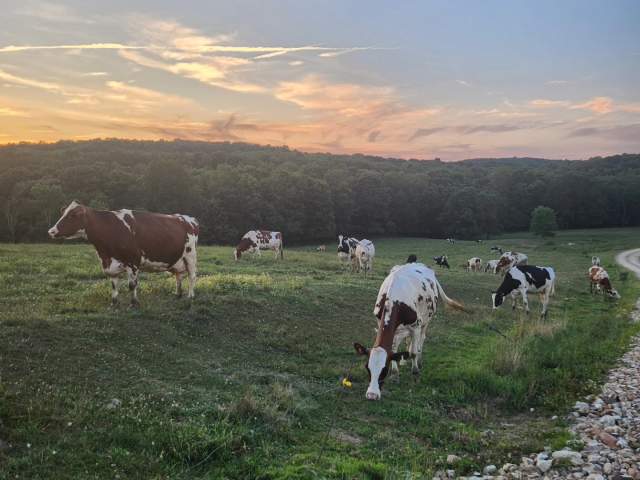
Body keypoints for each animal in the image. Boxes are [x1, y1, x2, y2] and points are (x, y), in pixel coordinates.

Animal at [48, 200, 199, 307]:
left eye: (72, 215)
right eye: (63, 213)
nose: (51, 231)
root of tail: (188, 218)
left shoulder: (133, 261)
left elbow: (132, 284)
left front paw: (134, 304)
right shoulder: (110, 264)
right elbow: (114, 284)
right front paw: (114, 303)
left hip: (190, 255)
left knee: (191, 276)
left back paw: (190, 296)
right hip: (177, 259)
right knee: (178, 276)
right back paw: (177, 294)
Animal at [353, 263, 465, 400]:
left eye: (384, 370)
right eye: (367, 368)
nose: (372, 395)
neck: (394, 300)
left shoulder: (415, 326)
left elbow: (413, 352)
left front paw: (415, 371)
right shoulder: (382, 324)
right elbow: (394, 350)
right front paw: (395, 373)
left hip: (426, 320)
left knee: (421, 339)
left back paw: (419, 360)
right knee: (406, 341)